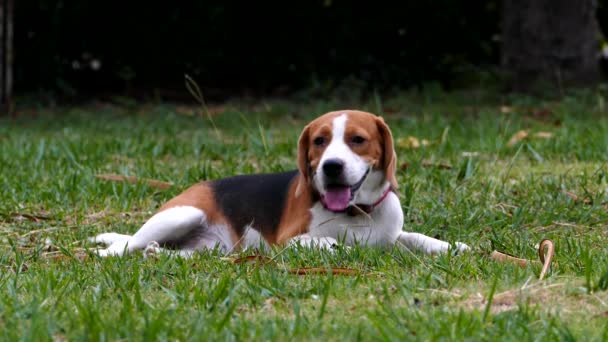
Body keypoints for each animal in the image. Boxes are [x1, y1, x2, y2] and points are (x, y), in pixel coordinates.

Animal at [91, 109, 470, 256]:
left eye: (358, 140)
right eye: (319, 141)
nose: (331, 166)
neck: (357, 212)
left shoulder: (391, 234)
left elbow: (415, 237)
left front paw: (450, 246)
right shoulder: (289, 240)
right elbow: (328, 243)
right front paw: (343, 247)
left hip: (209, 249)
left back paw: (156, 253)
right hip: (182, 215)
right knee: (120, 249)